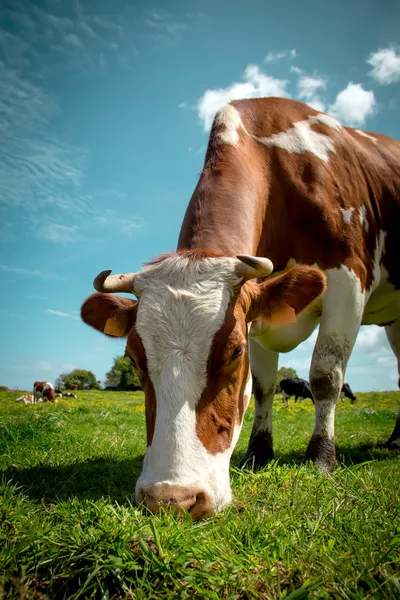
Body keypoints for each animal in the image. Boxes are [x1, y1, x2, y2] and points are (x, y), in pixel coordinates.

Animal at [80, 97, 400, 516]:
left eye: (234, 351)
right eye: (133, 358)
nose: (173, 498)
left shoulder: (349, 278)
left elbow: (325, 376)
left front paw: (321, 457)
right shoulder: (259, 315)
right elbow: (263, 386)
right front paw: (259, 452)